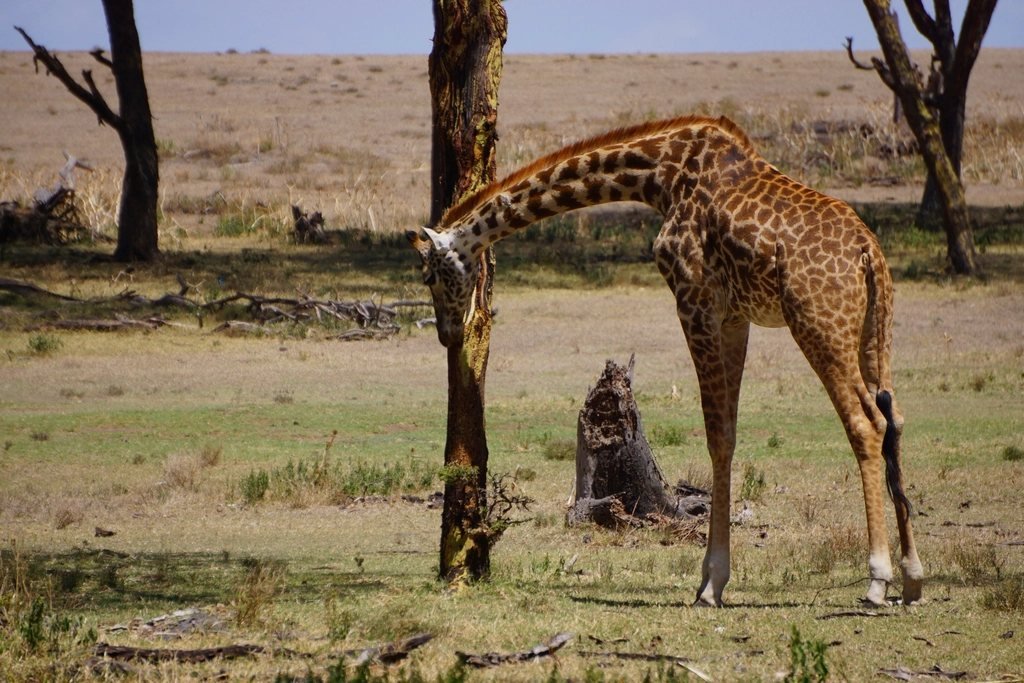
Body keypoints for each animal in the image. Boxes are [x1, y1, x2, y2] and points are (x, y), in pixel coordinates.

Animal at [408, 115, 924, 607]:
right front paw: (712, 580)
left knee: (866, 423)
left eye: (429, 275)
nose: (447, 334)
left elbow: (717, 437)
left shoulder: (694, 300)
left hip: (819, 324)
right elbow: (729, 432)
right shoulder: (734, 316)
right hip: (874, 330)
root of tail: (868, 252)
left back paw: (878, 579)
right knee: (894, 418)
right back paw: (913, 576)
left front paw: (711, 583)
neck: (661, 176)